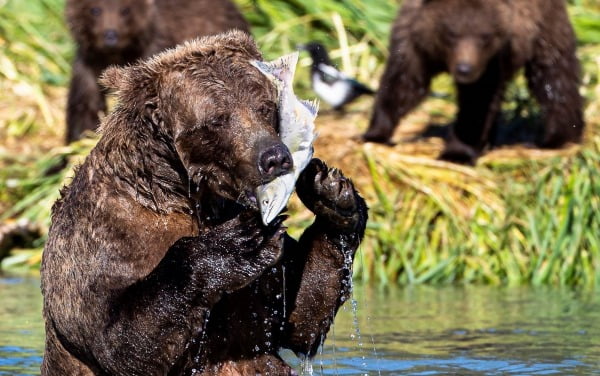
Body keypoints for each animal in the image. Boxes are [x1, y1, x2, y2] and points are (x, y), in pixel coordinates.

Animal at [41, 31, 366, 376]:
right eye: (217, 119)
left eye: (264, 107)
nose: (275, 157)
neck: (183, 195)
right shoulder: (103, 243)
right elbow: (120, 339)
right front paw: (239, 241)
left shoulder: (262, 285)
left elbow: (300, 316)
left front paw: (332, 192)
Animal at [364, 0, 584, 164]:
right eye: (451, 33)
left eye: (485, 36)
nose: (465, 69)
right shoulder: (413, 44)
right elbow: (403, 84)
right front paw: (375, 133)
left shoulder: (492, 60)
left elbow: (478, 102)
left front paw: (457, 152)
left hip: (543, 28)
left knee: (554, 75)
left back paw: (555, 137)